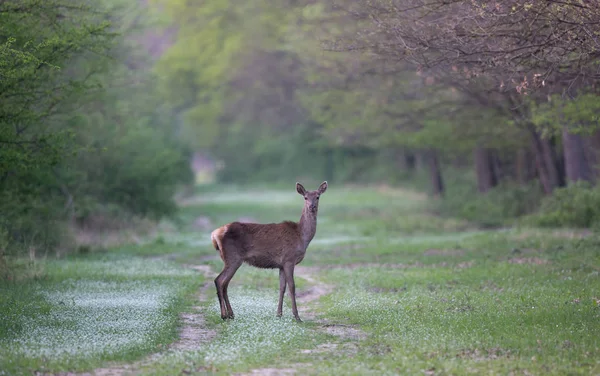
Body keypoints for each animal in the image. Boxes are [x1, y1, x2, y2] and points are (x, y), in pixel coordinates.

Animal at [210, 181, 328, 322]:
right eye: (305, 197)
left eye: (318, 197)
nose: (312, 206)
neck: (301, 236)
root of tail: (215, 235)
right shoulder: (289, 259)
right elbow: (292, 286)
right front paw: (297, 316)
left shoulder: (281, 265)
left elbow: (282, 287)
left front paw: (279, 314)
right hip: (233, 258)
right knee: (219, 280)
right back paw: (224, 315)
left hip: (231, 259)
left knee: (224, 283)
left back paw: (230, 314)